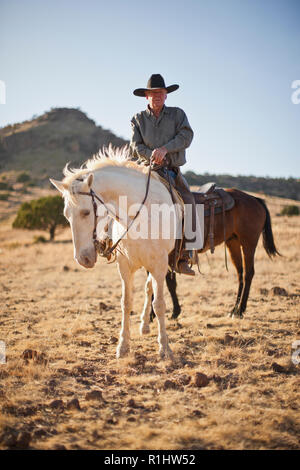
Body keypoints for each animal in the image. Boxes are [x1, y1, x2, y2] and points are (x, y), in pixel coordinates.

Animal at [50, 147, 182, 360]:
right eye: (66, 215)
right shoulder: (125, 267)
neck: (140, 216)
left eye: (86, 212)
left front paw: (164, 348)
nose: (83, 259)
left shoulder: (160, 265)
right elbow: (126, 303)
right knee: (148, 288)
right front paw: (123, 346)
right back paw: (144, 325)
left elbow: (160, 304)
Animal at [152, 187, 282, 320]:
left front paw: (172, 312)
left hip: (248, 244)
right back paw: (234, 309)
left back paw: (240, 310)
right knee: (240, 273)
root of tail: (255, 199)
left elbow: (167, 283)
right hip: (233, 243)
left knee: (248, 274)